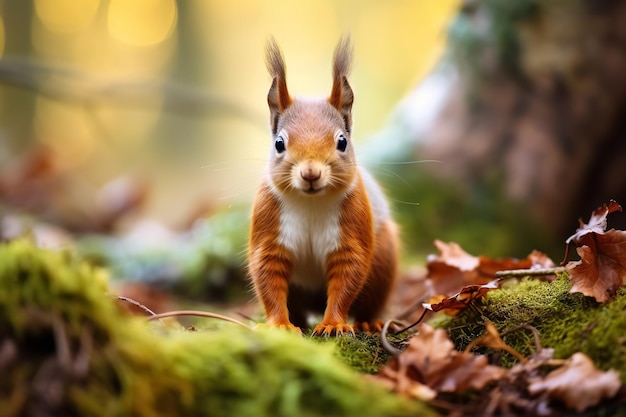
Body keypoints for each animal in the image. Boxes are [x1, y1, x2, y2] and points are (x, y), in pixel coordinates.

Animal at [247, 36, 398, 334]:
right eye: (279, 143)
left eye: (342, 141)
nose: (311, 173)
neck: (310, 202)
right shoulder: (268, 230)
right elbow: (268, 279)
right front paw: (279, 325)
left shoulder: (352, 230)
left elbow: (346, 278)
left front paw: (333, 324)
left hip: (384, 259)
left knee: (370, 301)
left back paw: (369, 322)